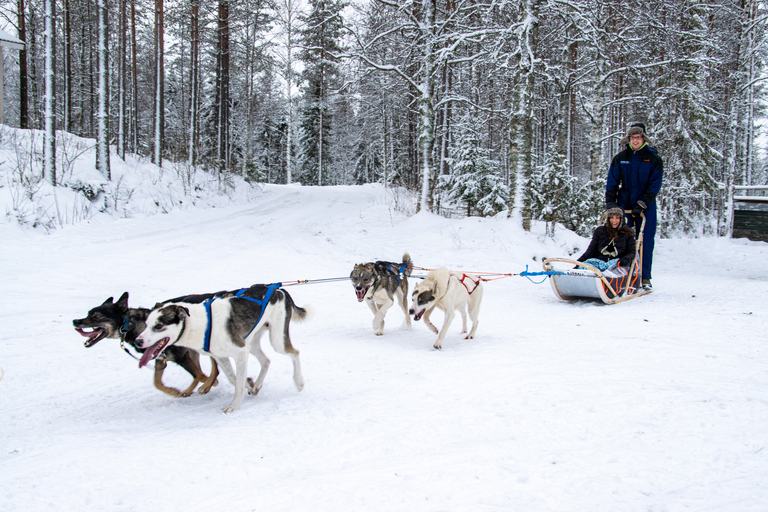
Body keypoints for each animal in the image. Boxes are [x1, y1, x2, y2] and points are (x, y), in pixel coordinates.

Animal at [72, 292, 219, 396]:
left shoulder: (181, 356)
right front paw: (173, 392)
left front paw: (210, 383)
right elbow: (157, 382)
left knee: (211, 368)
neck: (132, 325)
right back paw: (192, 389)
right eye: (88, 313)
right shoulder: (160, 357)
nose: (75, 321)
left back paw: (207, 385)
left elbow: (199, 375)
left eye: (97, 316)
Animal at [136, 286, 308, 414]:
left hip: (276, 340)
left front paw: (234, 406)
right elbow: (234, 378)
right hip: (251, 342)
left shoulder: (240, 352)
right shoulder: (221, 357)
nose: (138, 341)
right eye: (146, 324)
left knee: (295, 353)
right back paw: (257, 386)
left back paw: (299, 382)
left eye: (159, 326)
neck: (200, 324)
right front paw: (248, 385)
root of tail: (278, 289)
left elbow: (238, 384)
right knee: (266, 361)